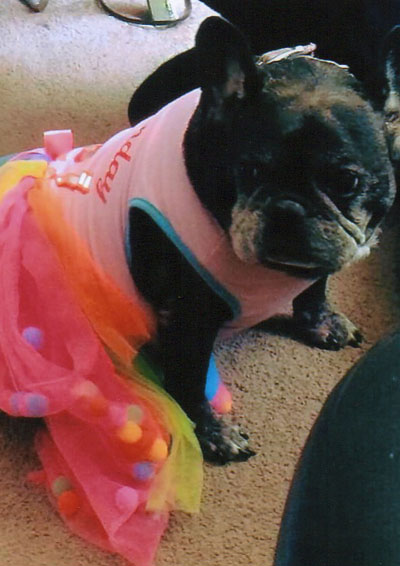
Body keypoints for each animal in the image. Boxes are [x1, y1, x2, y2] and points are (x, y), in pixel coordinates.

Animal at [124, 16, 395, 464]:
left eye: (346, 180)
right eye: (248, 170)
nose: (288, 209)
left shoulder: (322, 257)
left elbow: (315, 288)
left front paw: (320, 322)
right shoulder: (190, 323)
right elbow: (189, 385)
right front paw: (212, 433)